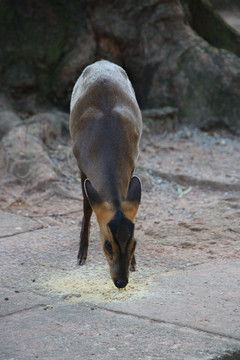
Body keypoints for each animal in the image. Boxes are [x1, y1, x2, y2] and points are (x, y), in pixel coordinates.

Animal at [69, 60, 142, 288]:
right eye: (108, 245)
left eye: (134, 243)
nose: (121, 281)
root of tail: (102, 62)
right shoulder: (80, 163)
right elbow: (87, 206)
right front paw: (81, 255)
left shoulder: (133, 159)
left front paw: (135, 263)